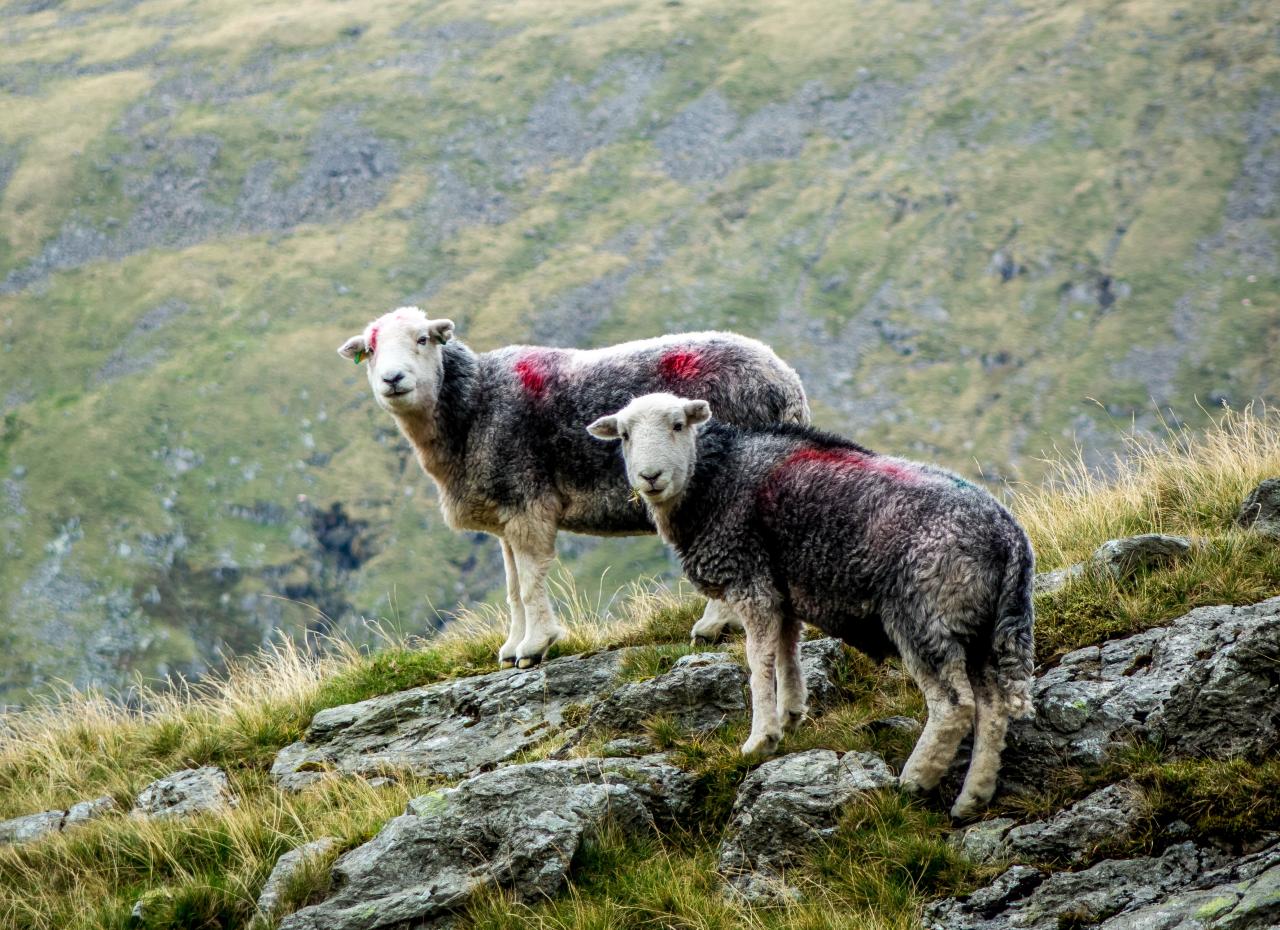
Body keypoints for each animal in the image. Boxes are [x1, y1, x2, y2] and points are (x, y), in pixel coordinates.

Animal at [337, 310, 808, 670]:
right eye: (370, 350)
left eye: (422, 339)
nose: (392, 379)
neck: (474, 406)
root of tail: (787, 382)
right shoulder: (505, 514)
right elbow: (513, 589)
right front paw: (511, 647)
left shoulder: (527, 503)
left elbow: (530, 583)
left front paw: (534, 647)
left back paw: (714, 625)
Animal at [588, 388, 1039, 818]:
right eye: (624, 435)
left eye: (678, 424)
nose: (650, 477)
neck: (715, 478)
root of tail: (1010, 539)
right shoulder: (783, 591)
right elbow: (787, 652)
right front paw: (790, 715)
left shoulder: (751, 583)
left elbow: (758, 660)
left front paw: (761, 739)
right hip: (980, 628)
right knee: (993, 707)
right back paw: (973, 797)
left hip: (924, 615)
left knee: (954, 706)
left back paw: (916, 779)